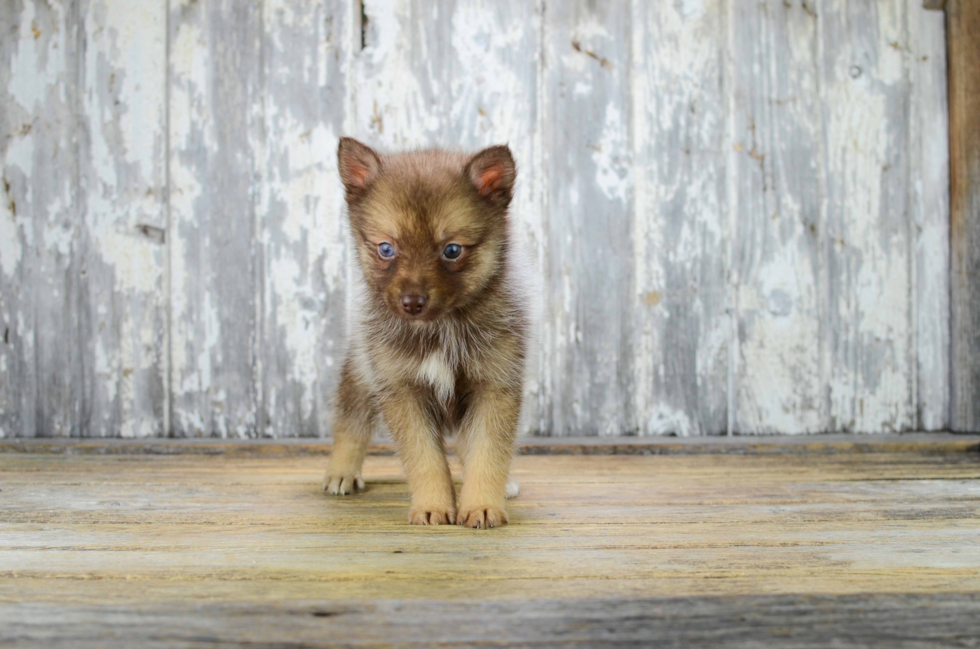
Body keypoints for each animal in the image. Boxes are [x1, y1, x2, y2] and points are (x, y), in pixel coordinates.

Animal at [324, 137, 528, 528]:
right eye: (386, 248)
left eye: (452, 250)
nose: (412, 302)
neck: (441, 328)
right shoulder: (402, 389)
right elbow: (425, 460)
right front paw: (433, 505)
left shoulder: (494, 385)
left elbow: (487, 453)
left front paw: (482, 504)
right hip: (361, 374)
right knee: (350, 422)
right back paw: (341, 472)